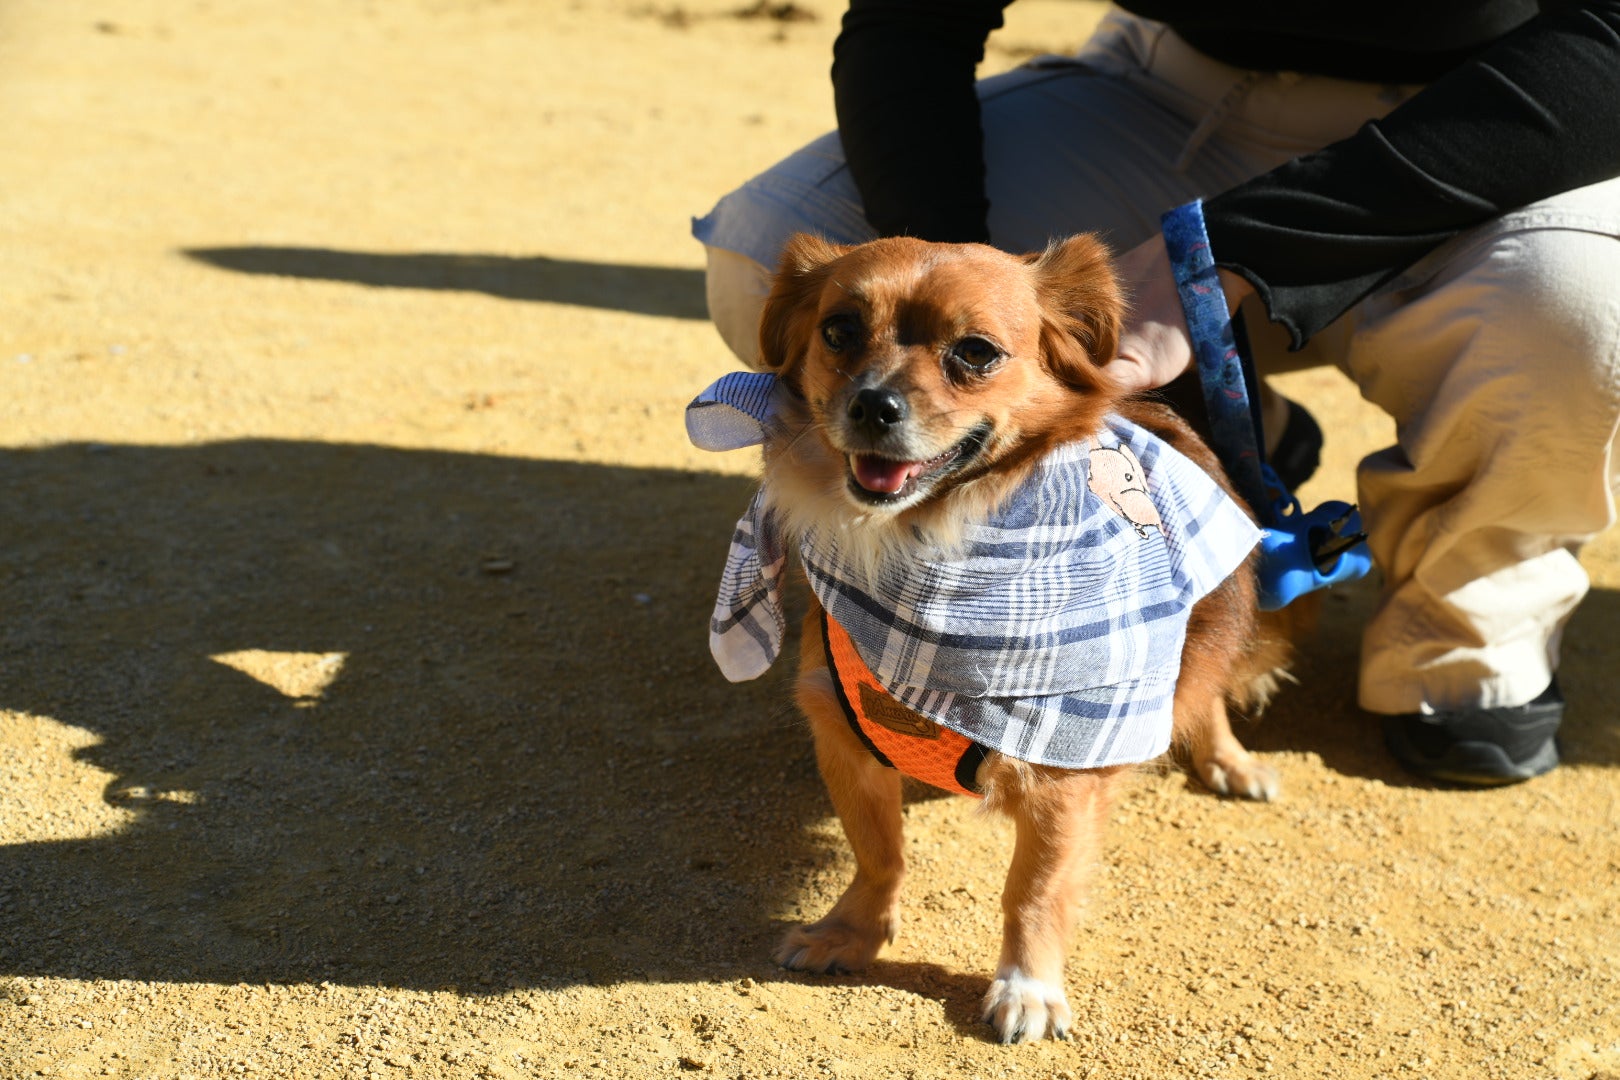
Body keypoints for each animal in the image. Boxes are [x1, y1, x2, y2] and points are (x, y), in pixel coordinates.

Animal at [745, 233, 1289, 1042]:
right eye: (838, 331)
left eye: (975, 352)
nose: (873, 403)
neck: (933, 554)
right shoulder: (845, 737)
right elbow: (878, 855)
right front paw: (851, 933)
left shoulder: (1064, 767)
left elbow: (1034, 889)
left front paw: (1027, 987)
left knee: (1203, 689)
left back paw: (1228, 759)